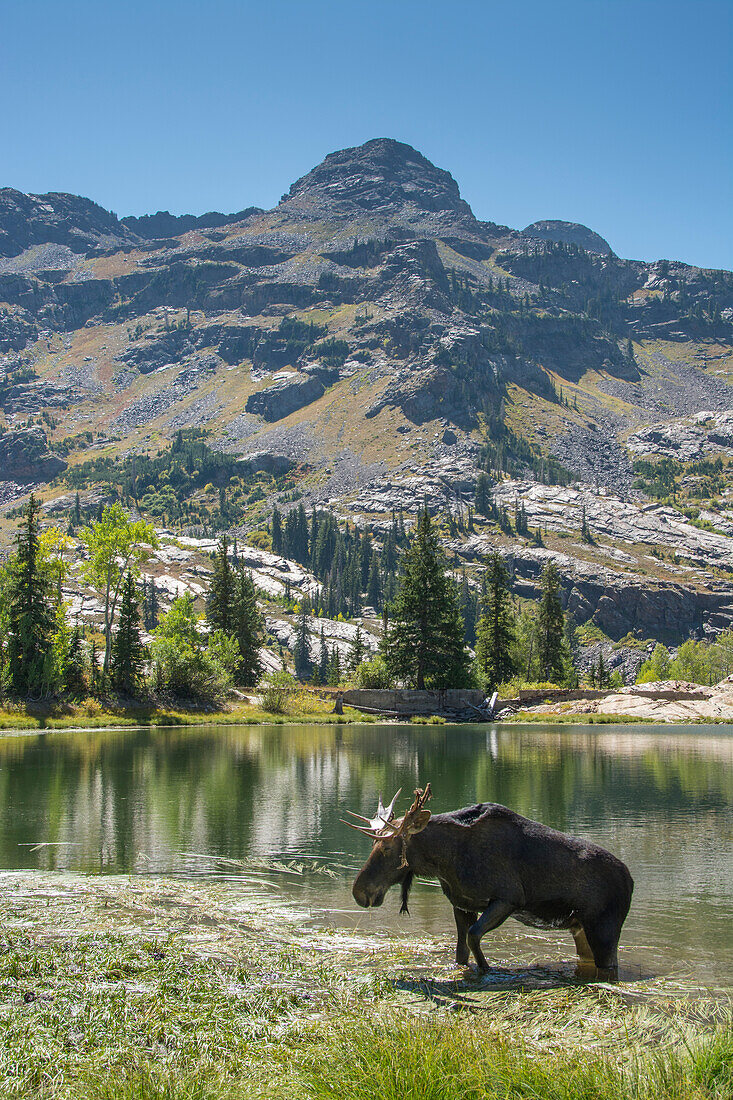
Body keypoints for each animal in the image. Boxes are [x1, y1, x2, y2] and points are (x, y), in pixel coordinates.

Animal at [345, 783, 629, 972]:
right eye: (373, 845)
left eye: (387, 848)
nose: (360, 892)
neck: (446, 860)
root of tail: (630, 880)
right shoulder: (462, 903)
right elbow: (460, 950)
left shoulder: (508, 899)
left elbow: (473, 937)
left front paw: (487, 969)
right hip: (580, 929)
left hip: (605, 930)